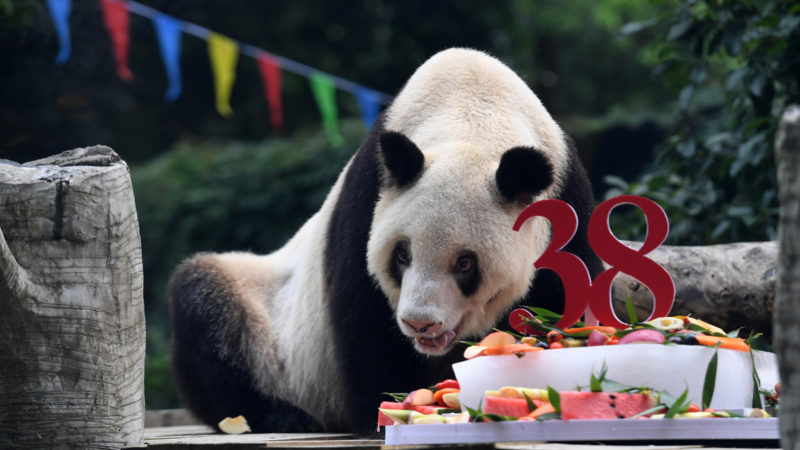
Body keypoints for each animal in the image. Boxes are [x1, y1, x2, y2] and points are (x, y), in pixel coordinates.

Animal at [172, 48, 604, 436]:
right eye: (403, 255)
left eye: (465, 263)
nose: (420, 323)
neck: (473, 116)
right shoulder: (370, 197)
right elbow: (365, 316)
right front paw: (384, 409)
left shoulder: (565, 198)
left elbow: (568, 294)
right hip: (267, 328)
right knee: (204, 305)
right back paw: (282, 416)